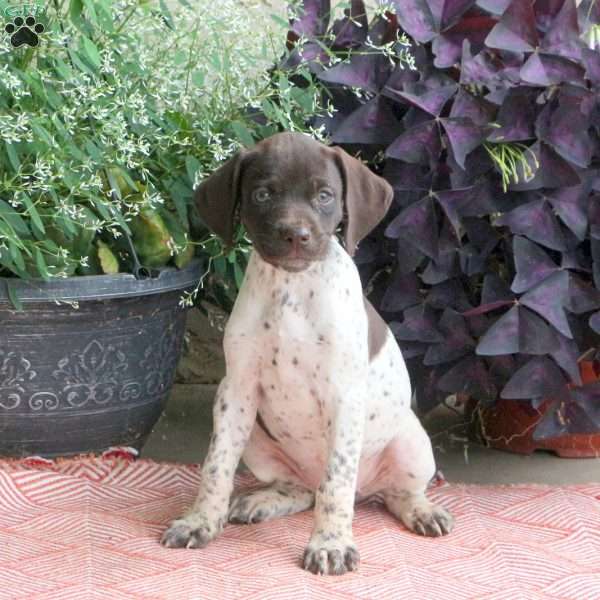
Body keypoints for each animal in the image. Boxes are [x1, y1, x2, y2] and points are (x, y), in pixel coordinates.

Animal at [162, 132, 452, 576]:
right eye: (263, 194)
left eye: (325, 195)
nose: (295, 235)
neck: (292, 290)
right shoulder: (236, 390)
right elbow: (216, 466)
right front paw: (200, 522)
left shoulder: (344, 397)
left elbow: (337, 483)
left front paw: (330, 544)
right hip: (258, 439)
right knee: (303, 490)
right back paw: (263, 500)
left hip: (411, 441)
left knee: (390, 492)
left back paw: (421, 510)